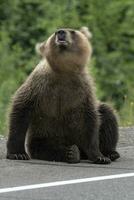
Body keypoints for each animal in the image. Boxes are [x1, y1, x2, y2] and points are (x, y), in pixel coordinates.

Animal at [6, 27, 120, 164]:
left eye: (72, 31)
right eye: (55, 32)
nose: (60, 32)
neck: (65, 71)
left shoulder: (83, 90)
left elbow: (90, 119)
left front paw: (100, 156)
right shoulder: (39, 85)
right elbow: (21, 108)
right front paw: (18, 153)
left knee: (107, 114)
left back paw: (110, 153)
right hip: (44, 134)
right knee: (47, 148)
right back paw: (71, 153)